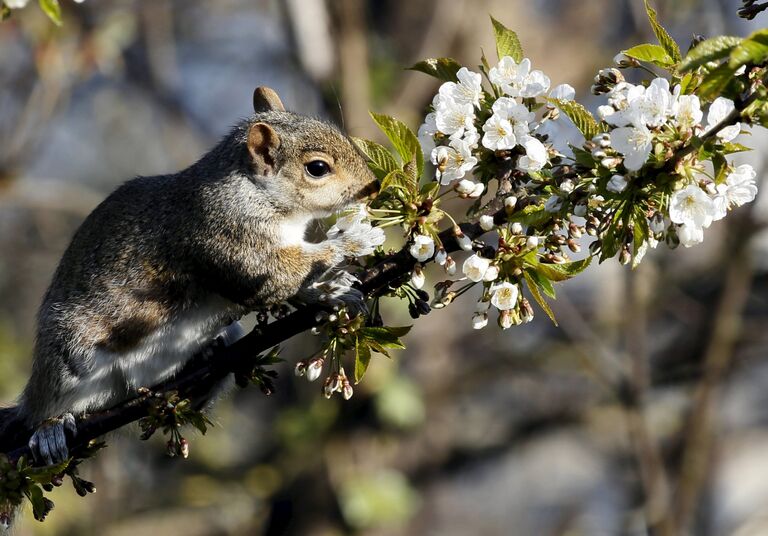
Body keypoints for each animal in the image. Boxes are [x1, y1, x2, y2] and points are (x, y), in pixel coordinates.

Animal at [0, 86, 382, 466]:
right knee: (44, 406)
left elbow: (290, 286)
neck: (253, 191)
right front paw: (352, 241)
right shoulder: (225, 235)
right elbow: (275, 275)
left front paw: (334, 293)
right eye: (317, 168)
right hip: (70, 355)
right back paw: (49, 428)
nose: (373, 187)